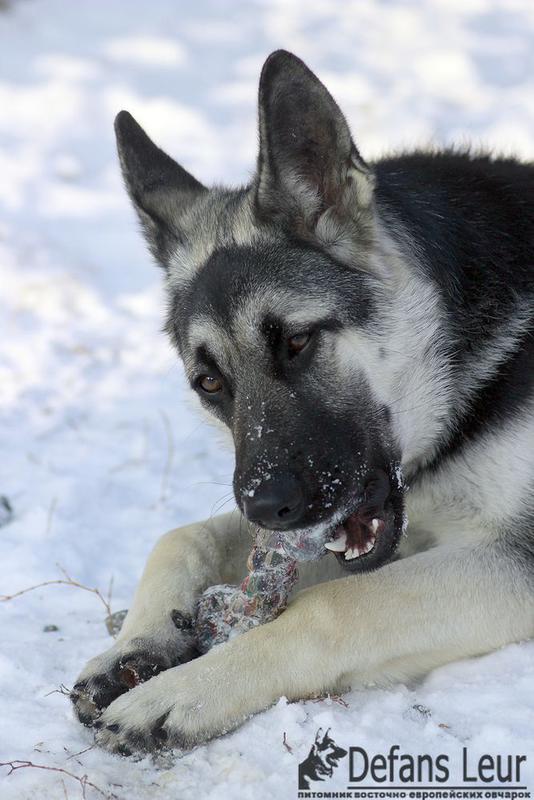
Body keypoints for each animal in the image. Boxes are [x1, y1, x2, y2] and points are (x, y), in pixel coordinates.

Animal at [70, 51, 534, 756]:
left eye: (296, 341)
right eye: (208, 383)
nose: (266, 505)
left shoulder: (513, 556)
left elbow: (335, 605)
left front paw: (187, 689)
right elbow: (181, 535)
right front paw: (137, 646)